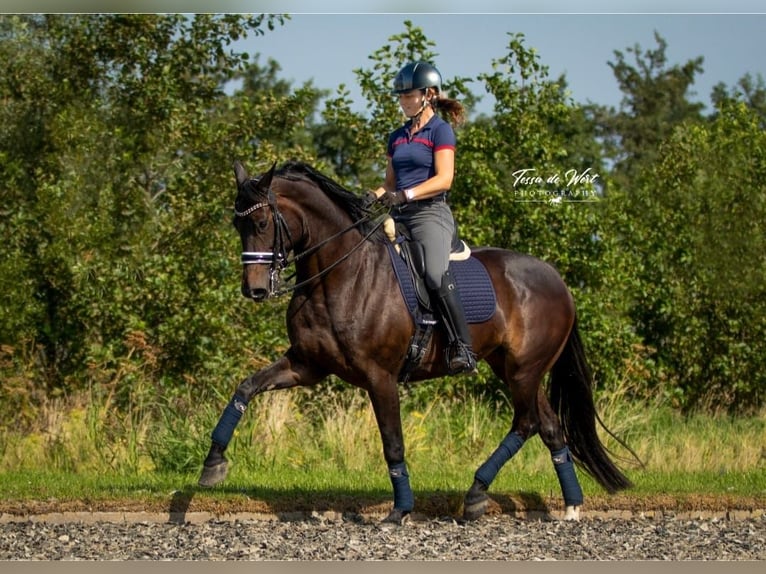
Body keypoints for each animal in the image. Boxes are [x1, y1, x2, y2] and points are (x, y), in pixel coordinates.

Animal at [198, 160, 636, 524]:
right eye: (237, 225)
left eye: (261, 223)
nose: (254, 290)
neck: (340, 276)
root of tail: (557, 280)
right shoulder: (307, 365)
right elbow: (246, 388)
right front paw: (213, 463)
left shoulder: (380, 377)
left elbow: (393, 444)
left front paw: (400, 510)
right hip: (511, 367)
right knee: (549, 427)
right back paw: (570, 506)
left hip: (524, 369)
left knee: (526, 422)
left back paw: (476, 493)